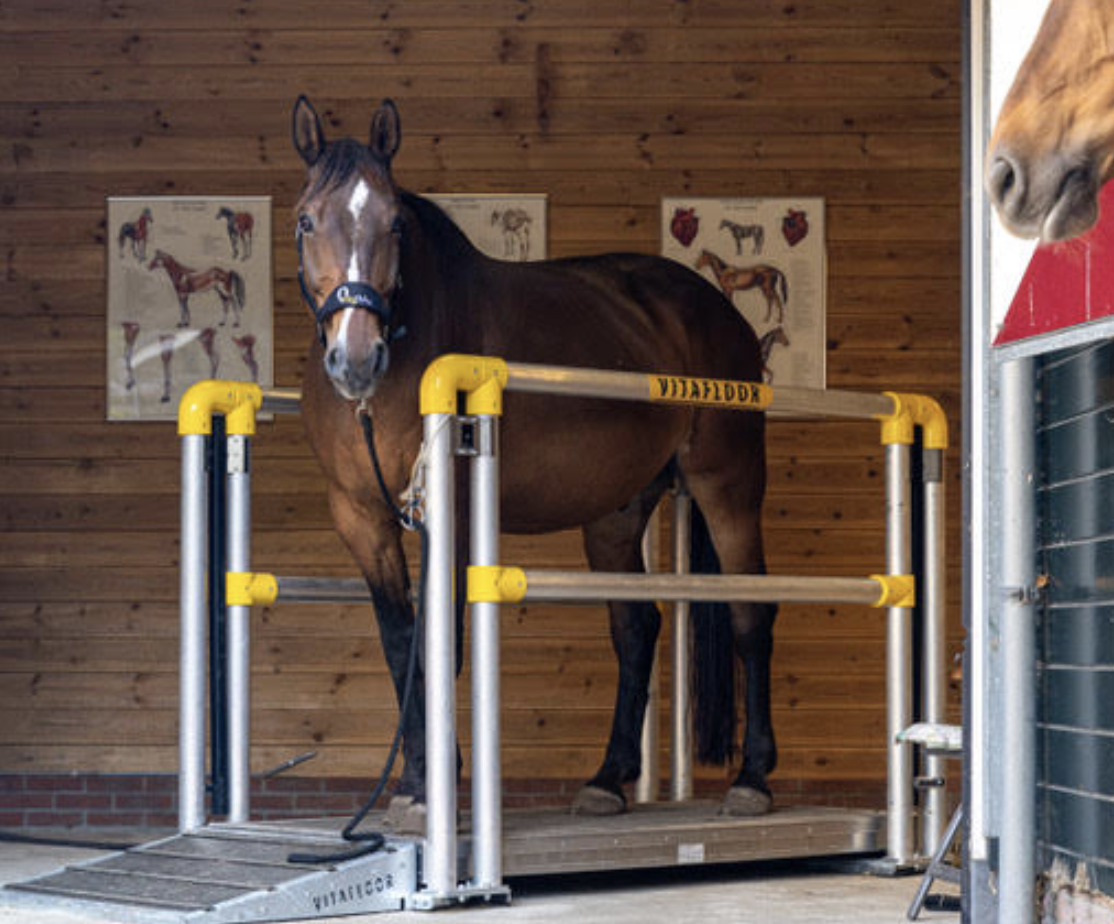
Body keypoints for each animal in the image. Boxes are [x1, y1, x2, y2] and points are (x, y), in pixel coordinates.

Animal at [291, 95, 777, 832]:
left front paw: (437, 790)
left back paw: (752, 779)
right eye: (306, 220)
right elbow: (402, 643)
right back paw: (606, 780)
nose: (355, 358)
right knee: (636, 629)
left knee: (752, 614)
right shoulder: (361, 518)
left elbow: (443, 640)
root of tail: (719, 310)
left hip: (729, 486)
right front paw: (413, 784)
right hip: (616, 513)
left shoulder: (451, 513)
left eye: (394, 223)